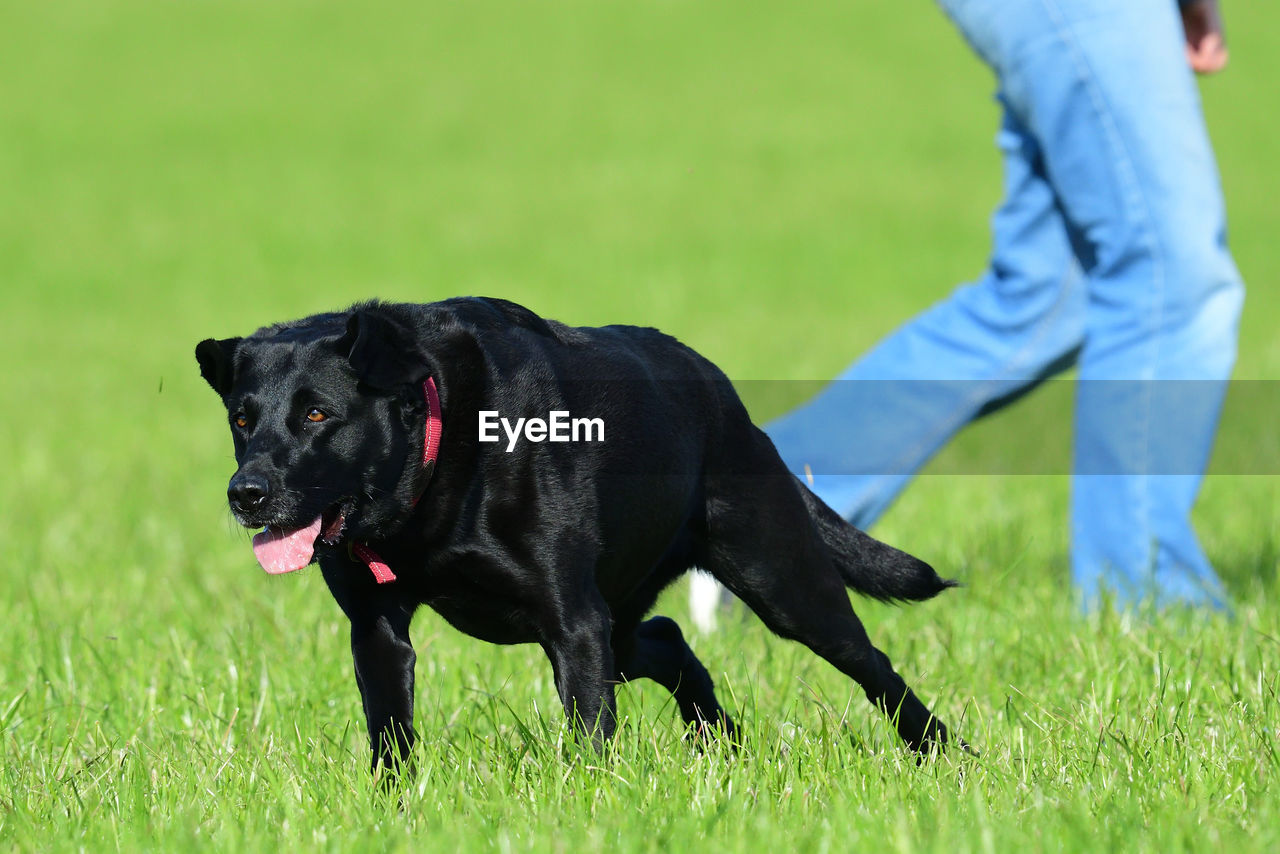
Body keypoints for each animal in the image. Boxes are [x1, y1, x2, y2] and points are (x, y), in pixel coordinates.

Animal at [194, 297, 962, 773]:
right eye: (242, 418)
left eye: (318, 414)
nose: (246, 494)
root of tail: (721, 392)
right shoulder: (377, 628)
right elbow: (391, 736)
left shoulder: (573, 621)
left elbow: (590, 733)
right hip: (625, 627)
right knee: (671, 641)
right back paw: (721, 745)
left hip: (780, 581)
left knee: (872, 663)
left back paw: (942, 752)